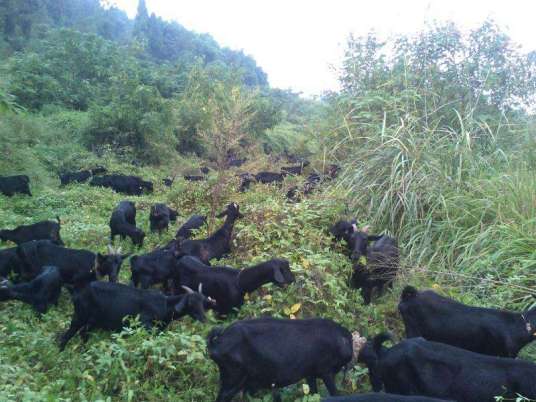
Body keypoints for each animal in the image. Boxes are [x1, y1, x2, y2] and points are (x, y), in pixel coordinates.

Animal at [59, 282, 215, 350]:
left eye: (203, 302)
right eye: (191, 303)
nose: (204, 319)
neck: (164, 304)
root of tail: (75, 291)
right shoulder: (145, 324)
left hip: (93, 321)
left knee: (83, 333)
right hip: (79, 316)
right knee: (67, 335)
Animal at [208, 318, 356, 402]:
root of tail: (217, 343)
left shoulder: (310, 373)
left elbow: (314, 393)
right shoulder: (326, 371)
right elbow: (335, 393)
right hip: (233, 378)